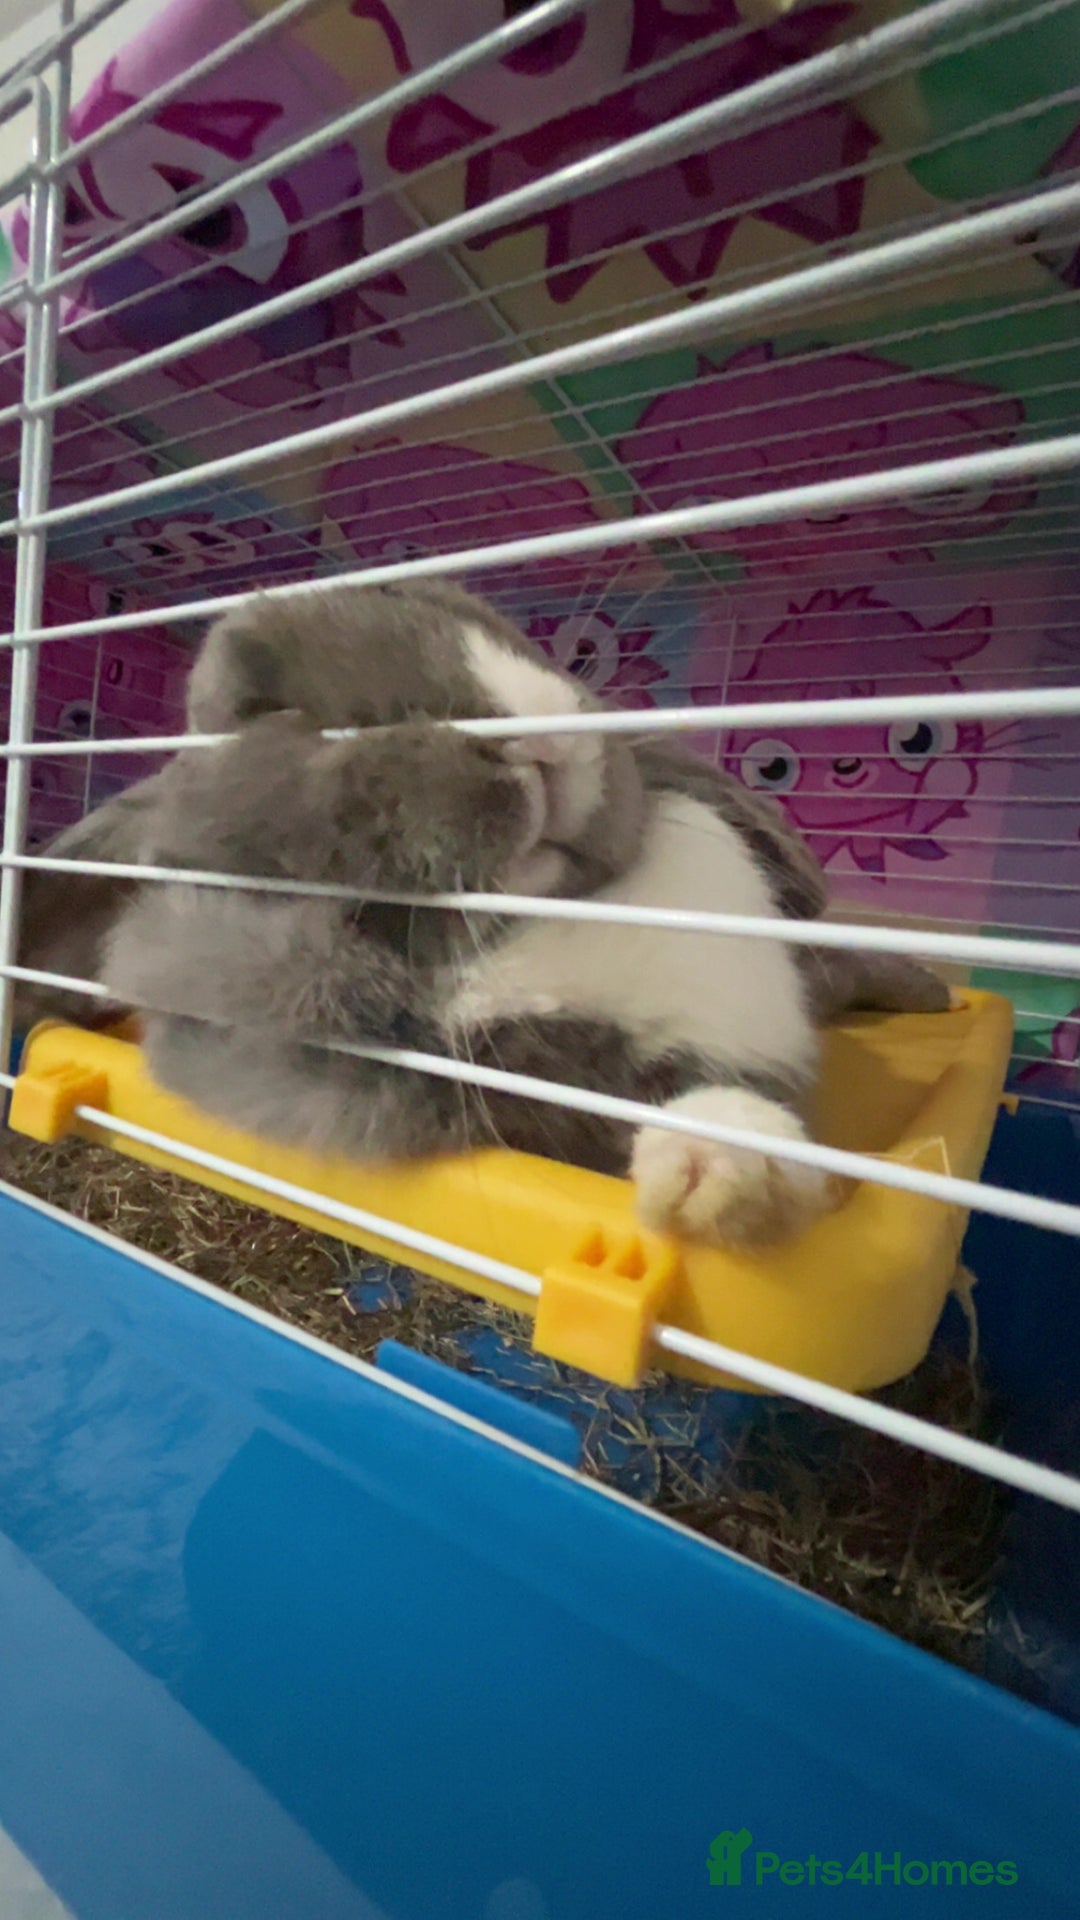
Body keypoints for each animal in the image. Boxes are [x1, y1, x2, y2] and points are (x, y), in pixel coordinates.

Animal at [16, 579, 950, 1248]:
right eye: (278, 717)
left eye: (465, 612)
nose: (537, 737)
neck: (536, 920)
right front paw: (711, 1179)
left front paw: (732, 1166)